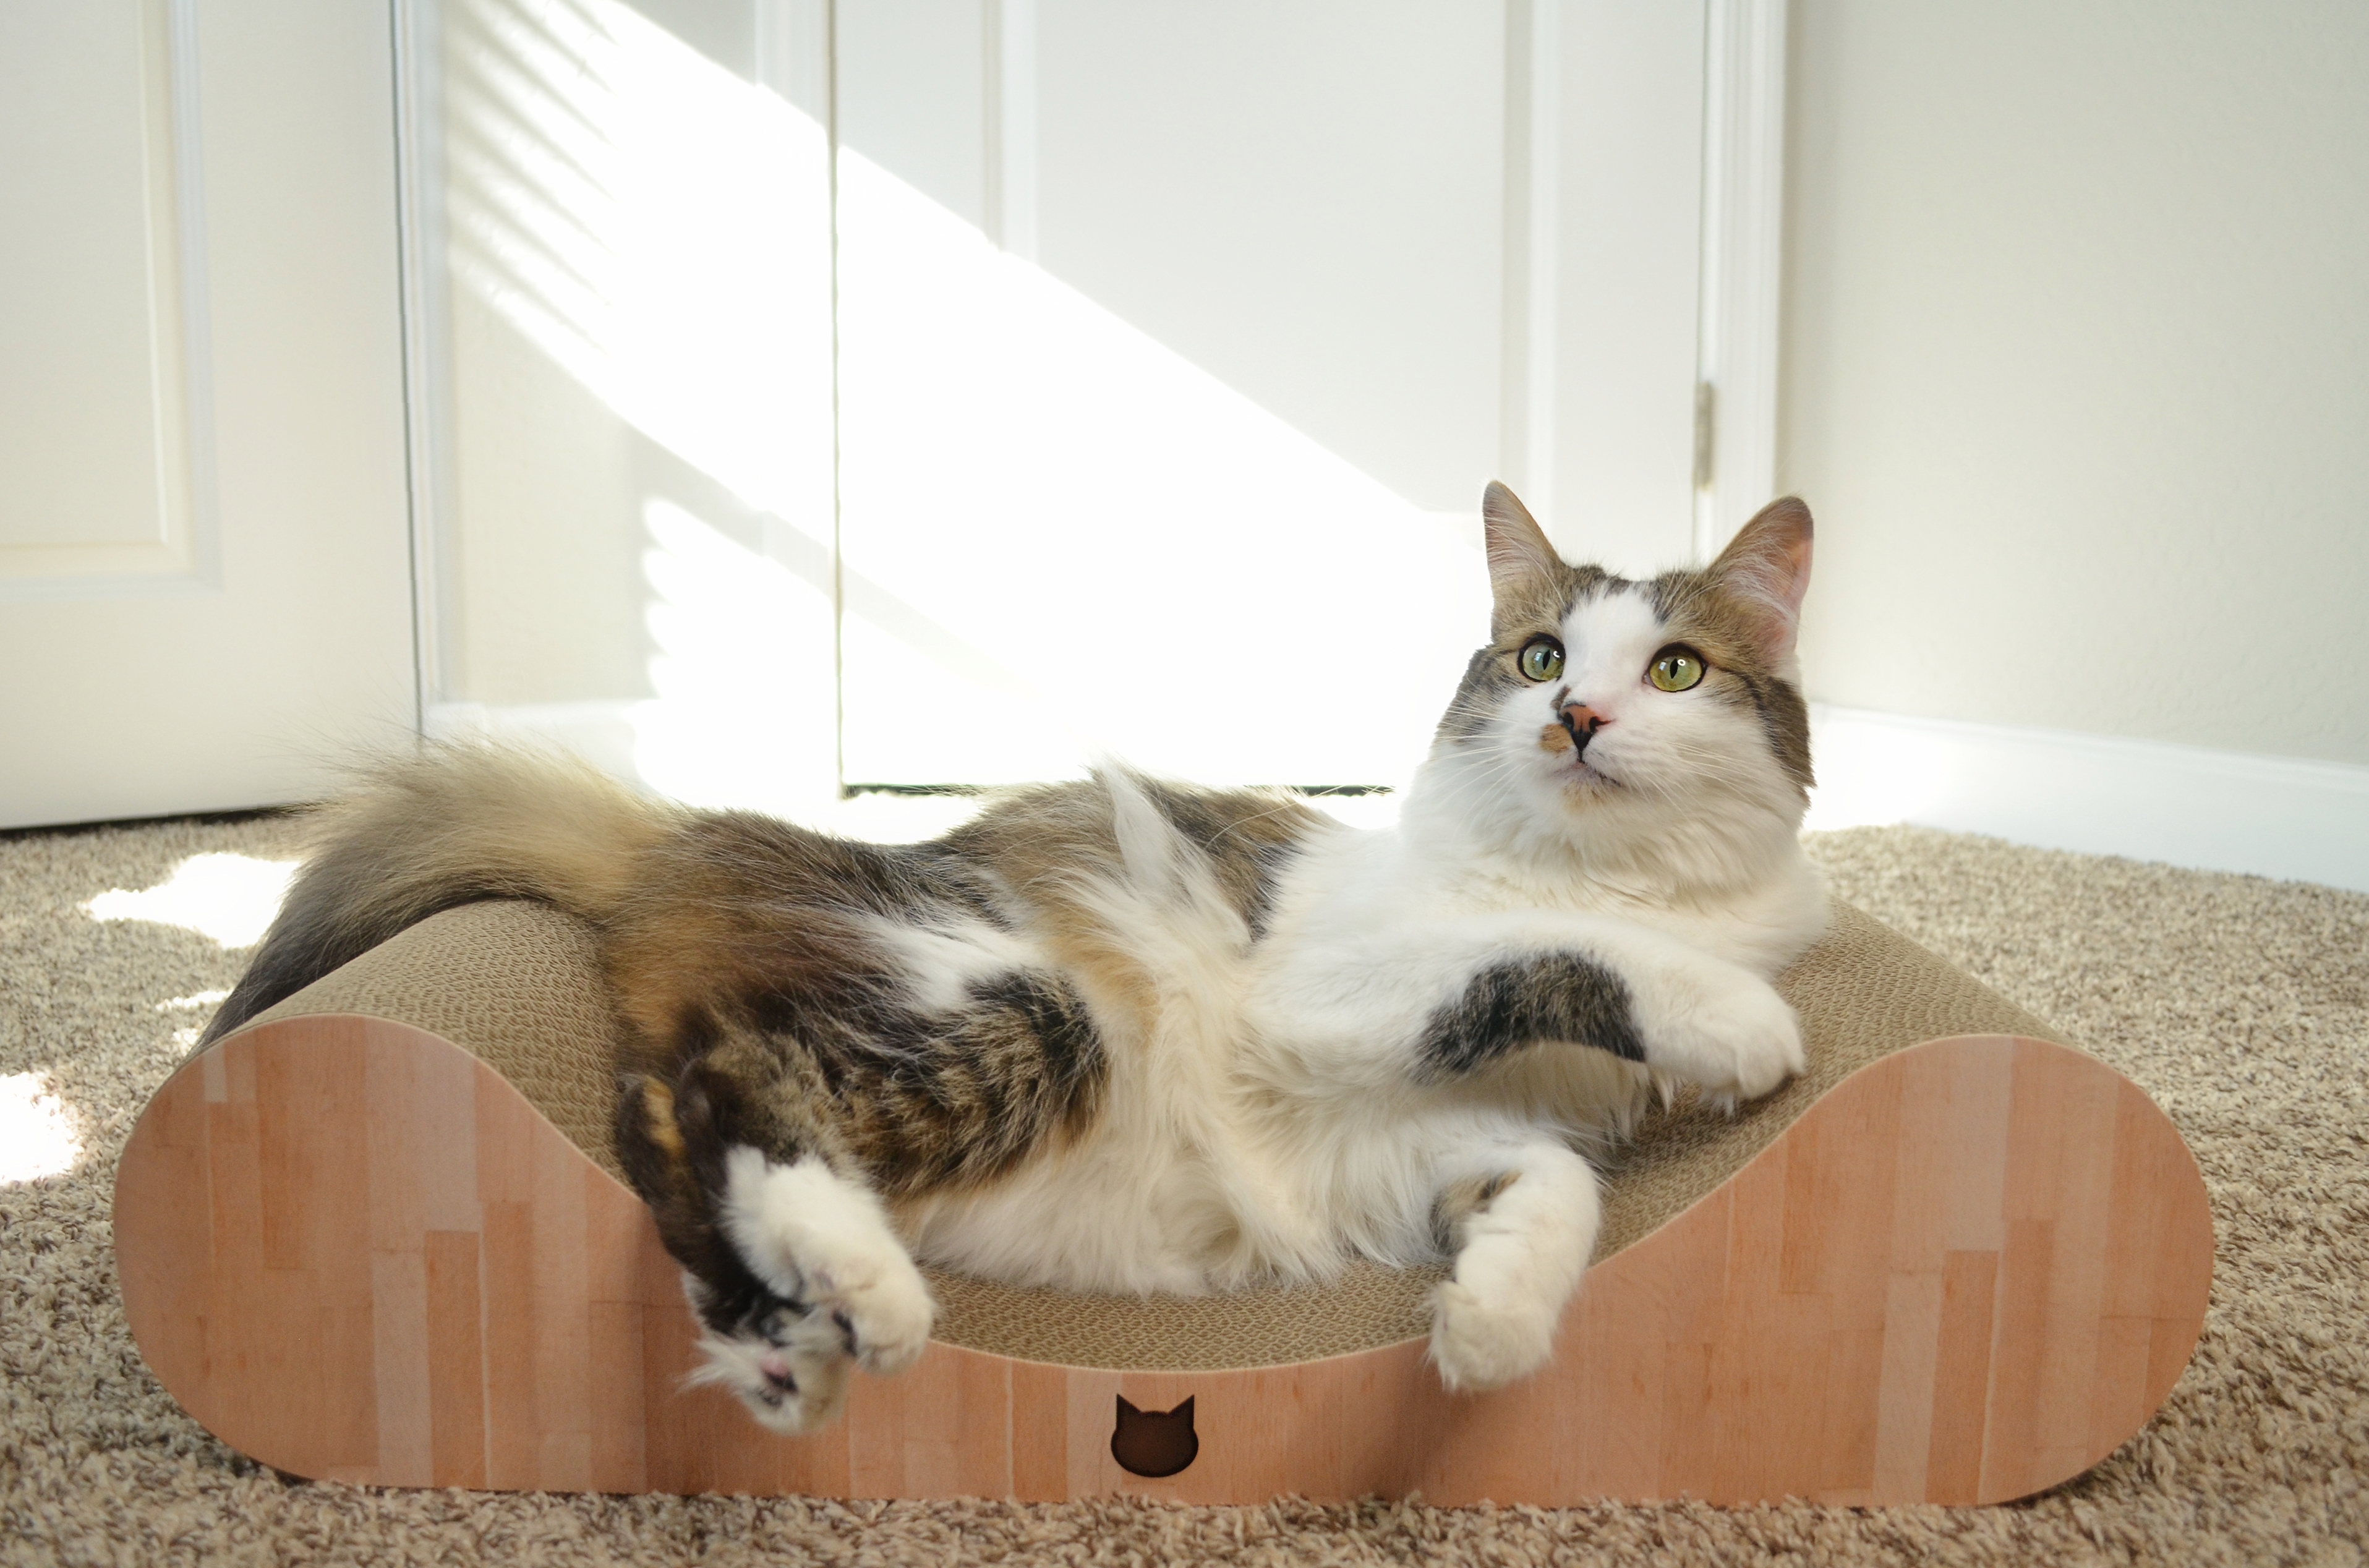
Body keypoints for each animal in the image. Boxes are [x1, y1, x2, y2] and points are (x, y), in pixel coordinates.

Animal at [208, 485, 1829, 1440]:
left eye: (1674, 669)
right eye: (1542, 657)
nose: (1579, 723)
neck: (1593, 869)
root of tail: (697, 834)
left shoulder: (1469, 1139)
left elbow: (1554, 1194)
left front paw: (1490, 1328)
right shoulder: (1325, 997)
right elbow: (1558, 954)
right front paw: (1740, 1027)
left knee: (674, 1122)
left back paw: (785, 1346)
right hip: (1027, 1006)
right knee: (719, 1090)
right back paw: (864, 1299)